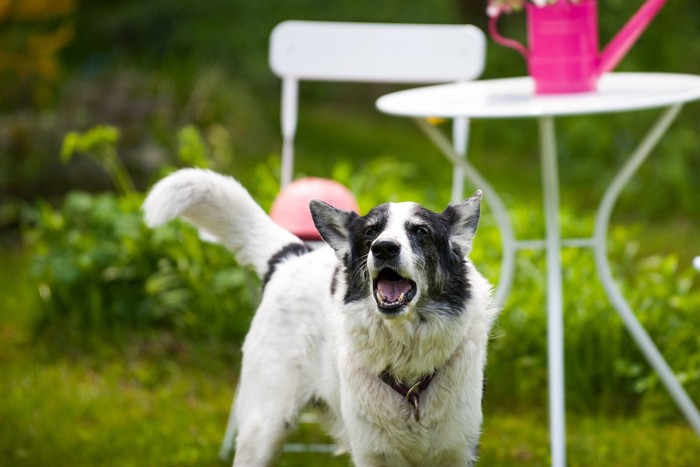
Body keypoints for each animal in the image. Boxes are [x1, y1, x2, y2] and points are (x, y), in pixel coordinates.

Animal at [144, 169, 498, 467]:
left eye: (421, 231)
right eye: (371, 232)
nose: (383, 248)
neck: (407, 368)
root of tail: (290, 256)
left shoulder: (457, 452)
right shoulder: (372, 455)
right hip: (264, 428)